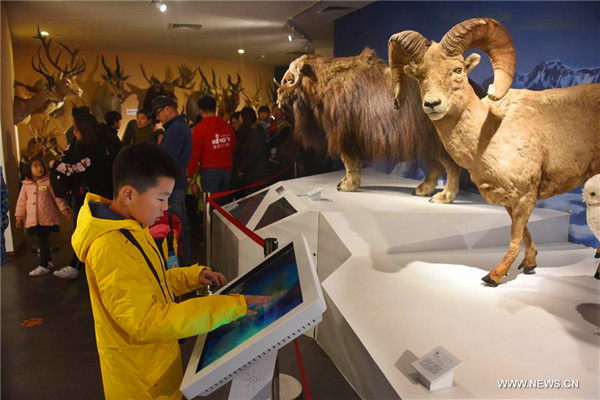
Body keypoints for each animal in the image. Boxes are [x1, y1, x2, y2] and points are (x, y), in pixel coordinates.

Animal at [278, 48, 462, 203]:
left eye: (288, 79)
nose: (278, 101)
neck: (322, 81)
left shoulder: (345, 136)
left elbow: (348, 161)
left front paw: (347, 186)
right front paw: (344, 182)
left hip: (441, 144)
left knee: (451, 167)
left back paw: (443, 196)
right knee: (437, 166)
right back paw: (421, 189)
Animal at [390, 18, 600, 284]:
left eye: (458, 70)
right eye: (419, 75)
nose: (432, 104)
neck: (490, 132)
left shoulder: (524, 196)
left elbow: (514, 236)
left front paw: (494, 276)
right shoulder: (512, 200)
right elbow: (524, 232)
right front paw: (529, 264)